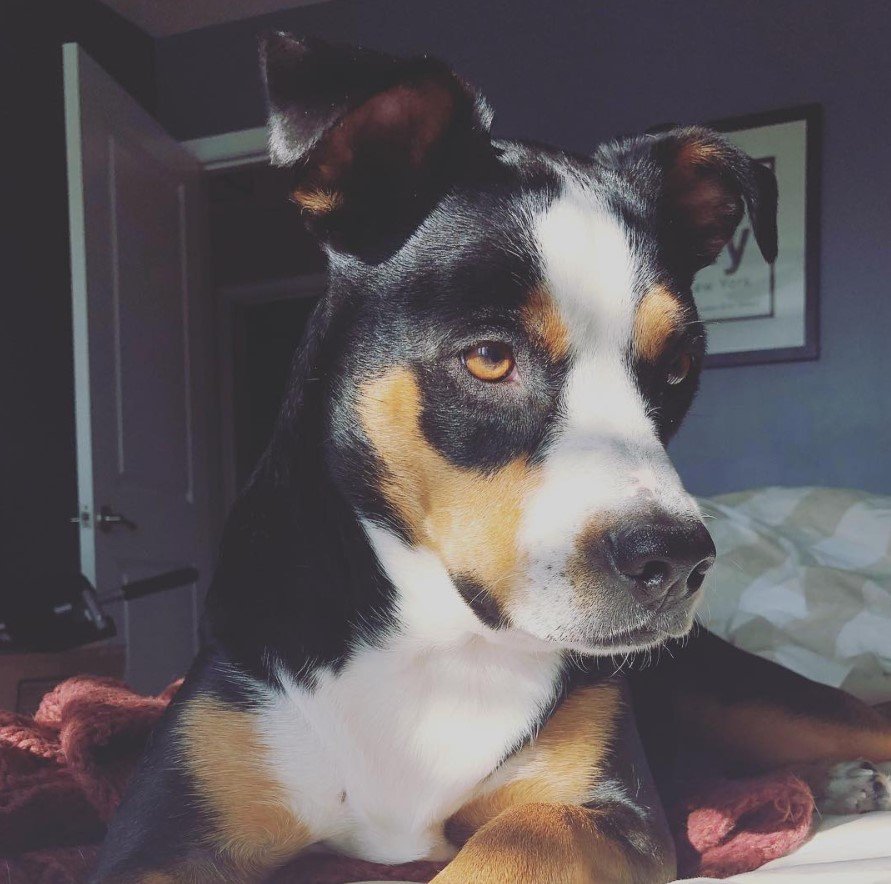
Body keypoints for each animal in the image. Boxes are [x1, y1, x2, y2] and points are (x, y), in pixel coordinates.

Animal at [94, 34, 888, 884]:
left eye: (676, 367)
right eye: (488, 358)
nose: (675, 561)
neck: (436, 643)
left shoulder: (611, 811)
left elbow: (523, 832)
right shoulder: (163, 832)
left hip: (749, 698)